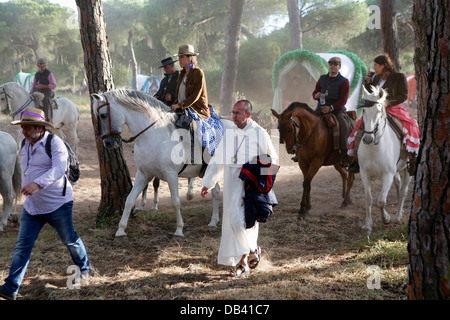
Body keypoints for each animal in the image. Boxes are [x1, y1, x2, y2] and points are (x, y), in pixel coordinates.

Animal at [91, 90, 229, 238]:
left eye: (103, 115)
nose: (107, 143)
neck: (153, 134)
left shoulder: (171, 175)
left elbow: (175, 202)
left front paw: (179, 230)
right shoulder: (143, 174)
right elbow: (129, 200)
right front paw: (121, 230)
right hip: (210, 171)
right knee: (215, 191)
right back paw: (213, 221)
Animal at [356, 86, 414, 234]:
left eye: (379, 111)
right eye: (364, 111)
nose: (367, 139)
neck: (373, 148)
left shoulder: (387, 175)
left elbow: (381, 201)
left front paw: (386, 218)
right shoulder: (364, 173)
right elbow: (368, 199)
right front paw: (367, 225)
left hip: (408, 170)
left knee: (404, 190)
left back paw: (398, 215)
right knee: (398, 185)